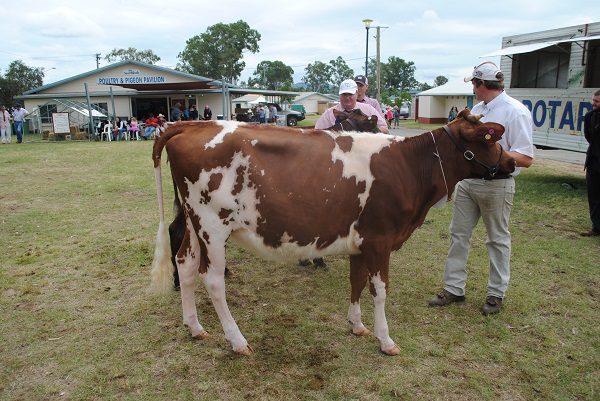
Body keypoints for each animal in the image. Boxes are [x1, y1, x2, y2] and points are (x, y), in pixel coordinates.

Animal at [151, 108, 516, 354]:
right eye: (489, 138)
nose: (512, 162)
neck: (408, 166)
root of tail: (189, 125)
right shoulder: (381, 238)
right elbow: (379, 290)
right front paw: (386, 340)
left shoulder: (361, 239)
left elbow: (356, 281)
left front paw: (358, 325)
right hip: (212, 225)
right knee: (212, 280)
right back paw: (237, 340)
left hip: (194, 223)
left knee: (184, 264)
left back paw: (195, 327)